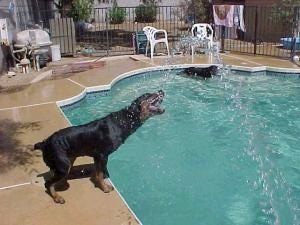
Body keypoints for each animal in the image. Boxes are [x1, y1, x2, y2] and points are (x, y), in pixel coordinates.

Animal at [34, 90, 165, 204]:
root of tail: (45, 143)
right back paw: (57, 197)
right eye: (147, 95)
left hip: (68, 159)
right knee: (48, 183)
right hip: (63, 164)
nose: (161, 91)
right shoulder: (102, 155)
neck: (126, 120)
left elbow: (99, 173)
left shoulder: (98, 157)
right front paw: (105, 188)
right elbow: (100, 174)